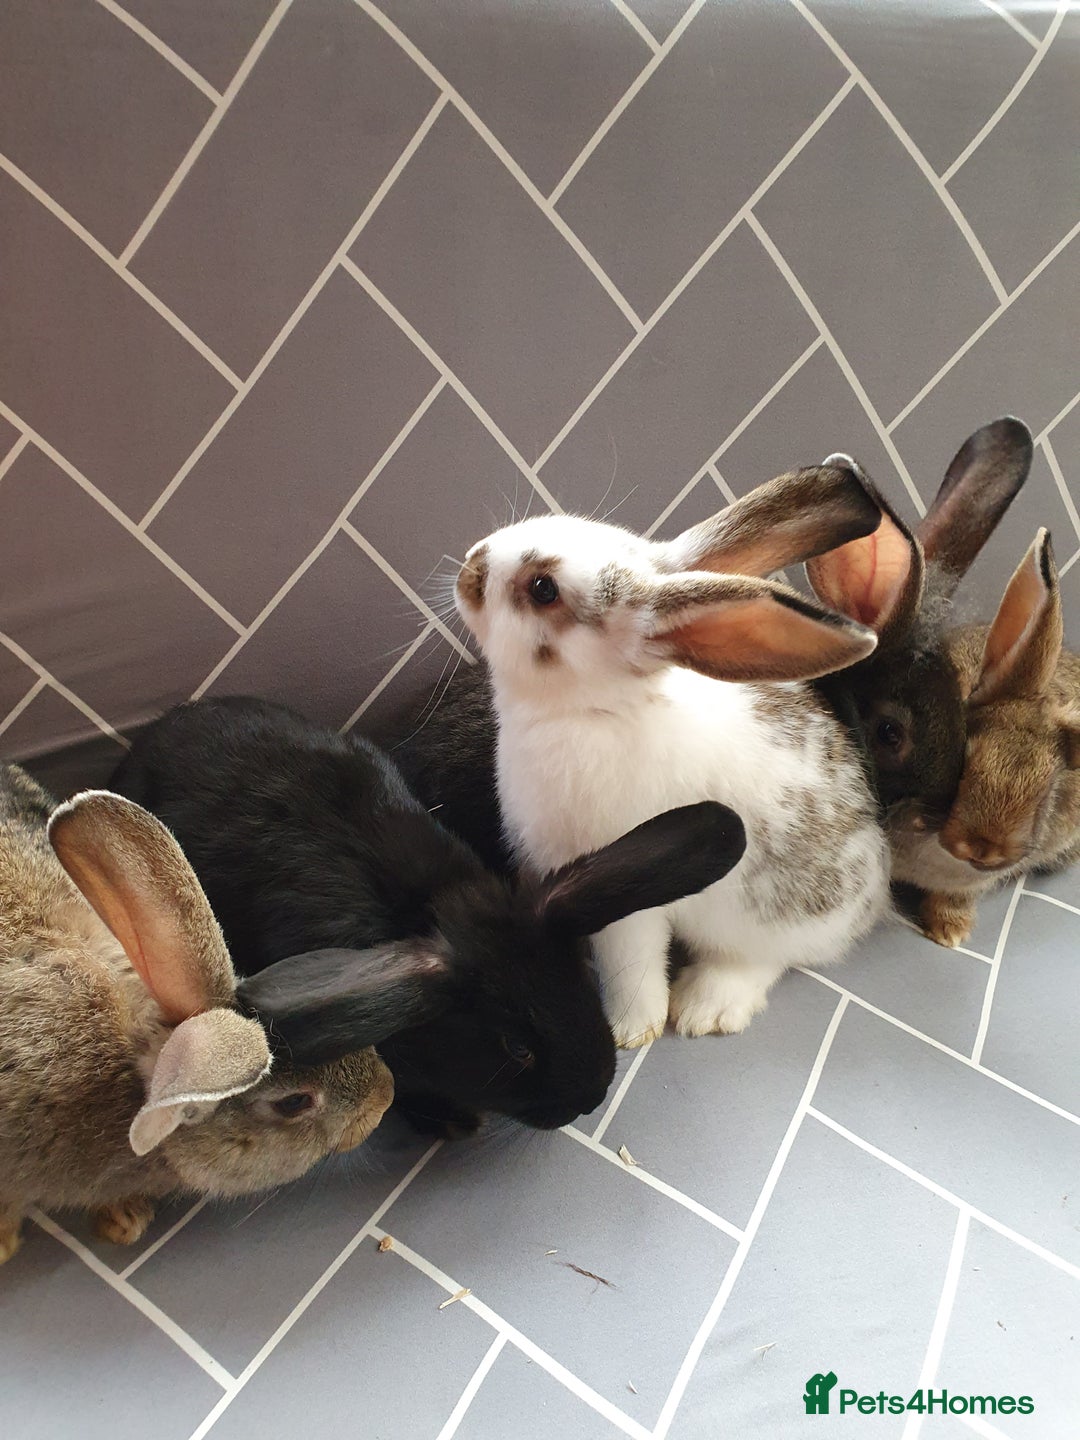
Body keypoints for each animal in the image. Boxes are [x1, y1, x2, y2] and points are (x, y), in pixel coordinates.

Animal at [111, 697, 748, 1137]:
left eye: (586, 991)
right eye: (516, 1048)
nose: (589, 1100)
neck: (431, 901)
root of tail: (157, 731)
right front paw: (451, 1124)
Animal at [454, 461, 894, 1048]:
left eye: (543, 589)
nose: (469, 566)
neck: (591, 710)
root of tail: (876, 892)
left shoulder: (628, 892)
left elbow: (631, 963)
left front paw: (630, 1031)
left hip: (767, 918)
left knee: (772, 958)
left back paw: (706, 1006)